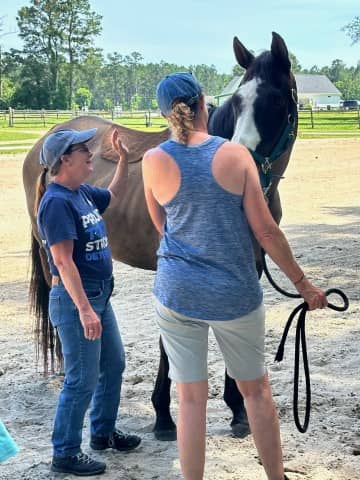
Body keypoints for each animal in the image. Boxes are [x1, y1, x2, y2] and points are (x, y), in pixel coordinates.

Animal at [23, 31, 298, 438]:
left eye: (276, 100)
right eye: (237, 101)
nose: (237, 166)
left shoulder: (247, 267)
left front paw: (238, 410)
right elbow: (169, 345)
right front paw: (164, 417)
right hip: (49, 253)